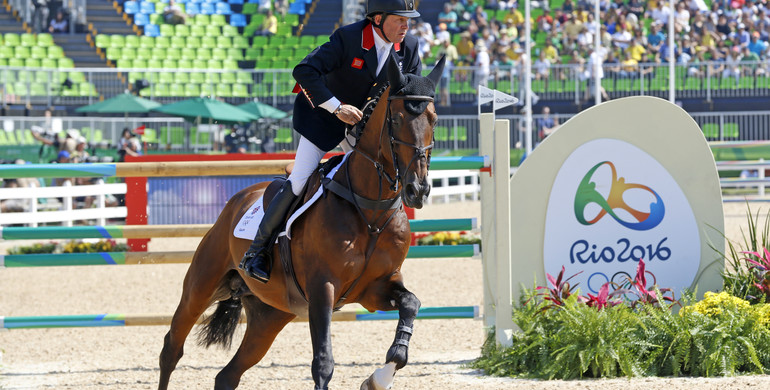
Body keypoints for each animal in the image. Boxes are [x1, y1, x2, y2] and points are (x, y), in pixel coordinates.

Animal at [156, 55, 444, 390]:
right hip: (201, 286)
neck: (370, 211)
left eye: (434, 119)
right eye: (396, 119)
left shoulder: (375, 289)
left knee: (227, 375)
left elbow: (410, 305)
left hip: (270, 315)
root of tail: (237, 200)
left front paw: (379, 377)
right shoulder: (322, 289)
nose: (417, 190)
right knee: (172, 348)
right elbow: (323, 363)